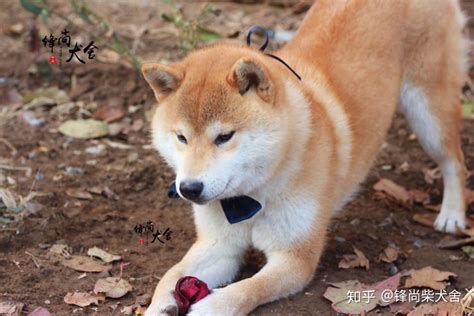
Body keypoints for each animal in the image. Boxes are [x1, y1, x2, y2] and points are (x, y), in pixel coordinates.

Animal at [143, 1, 468, 314]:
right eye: (181, 138)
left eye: (224, 136)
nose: (189, 188)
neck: (252, 198)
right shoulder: (218, 245)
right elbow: (171, 276)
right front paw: (159, 305)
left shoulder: (296, 258)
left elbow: (248, 289)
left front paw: (212, 306)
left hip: (428, 114)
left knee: (455, 161)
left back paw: (452, 214)